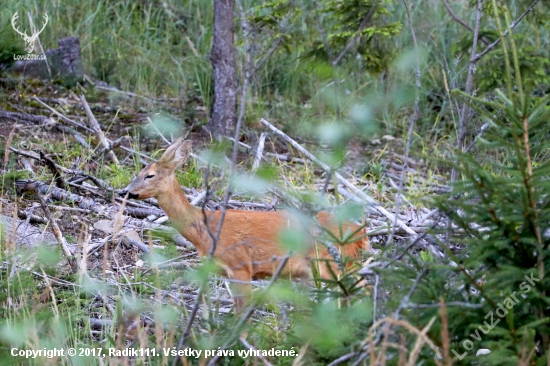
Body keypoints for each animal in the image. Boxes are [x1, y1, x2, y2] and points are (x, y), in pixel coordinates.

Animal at [121, 139, 370, 308]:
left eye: (150, 175)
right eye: (140, 171)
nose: (126, 192)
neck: (204, 230)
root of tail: (362, 233)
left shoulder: (241, 264)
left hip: (335, 261)